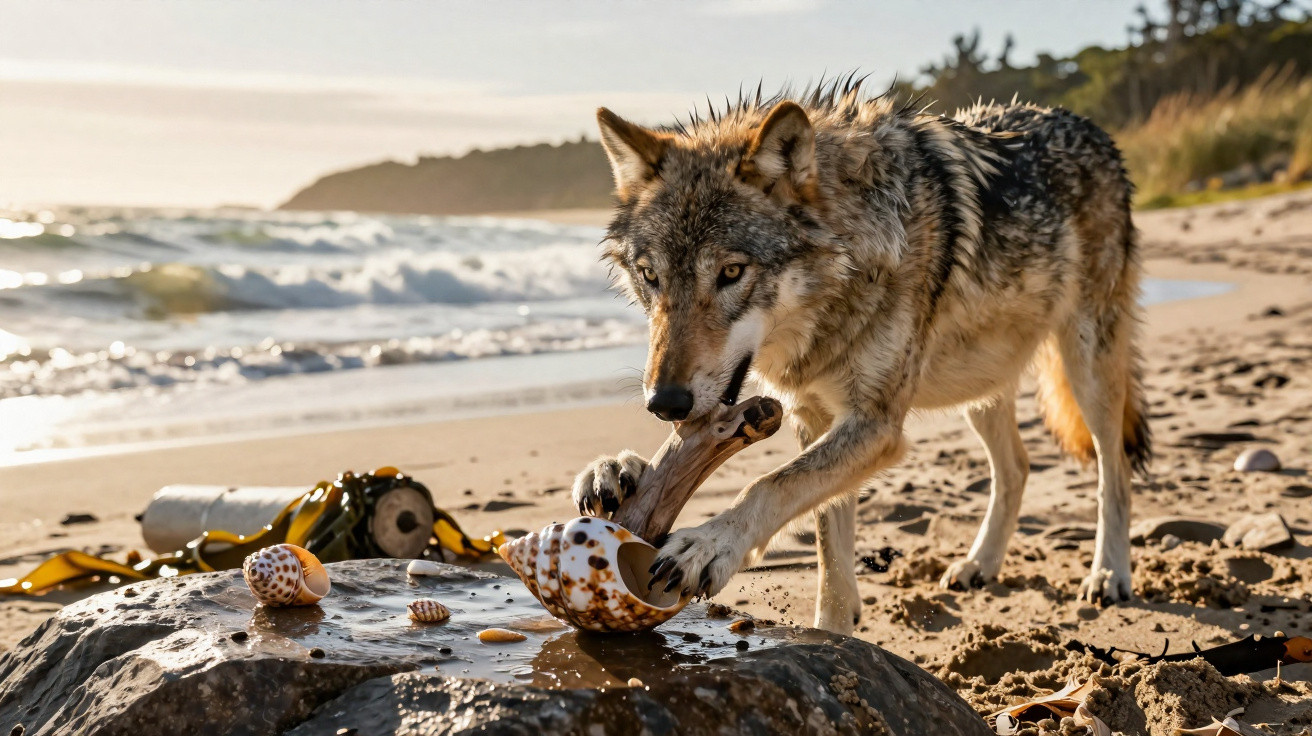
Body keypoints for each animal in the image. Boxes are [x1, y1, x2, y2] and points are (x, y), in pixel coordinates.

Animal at [572, 78, 1151, 634]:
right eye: (651, 276)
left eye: (731, 272)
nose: (664, 403)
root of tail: (1088, 126)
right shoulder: (814, 416)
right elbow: (827, 539)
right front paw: (615, 469)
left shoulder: (875, 424)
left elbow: (771, 485)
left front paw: (711, 544)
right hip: (980, 386)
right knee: (1018, 468)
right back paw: (979, 564)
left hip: (1087, 369)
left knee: (1114, 469)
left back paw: (1109, 573)